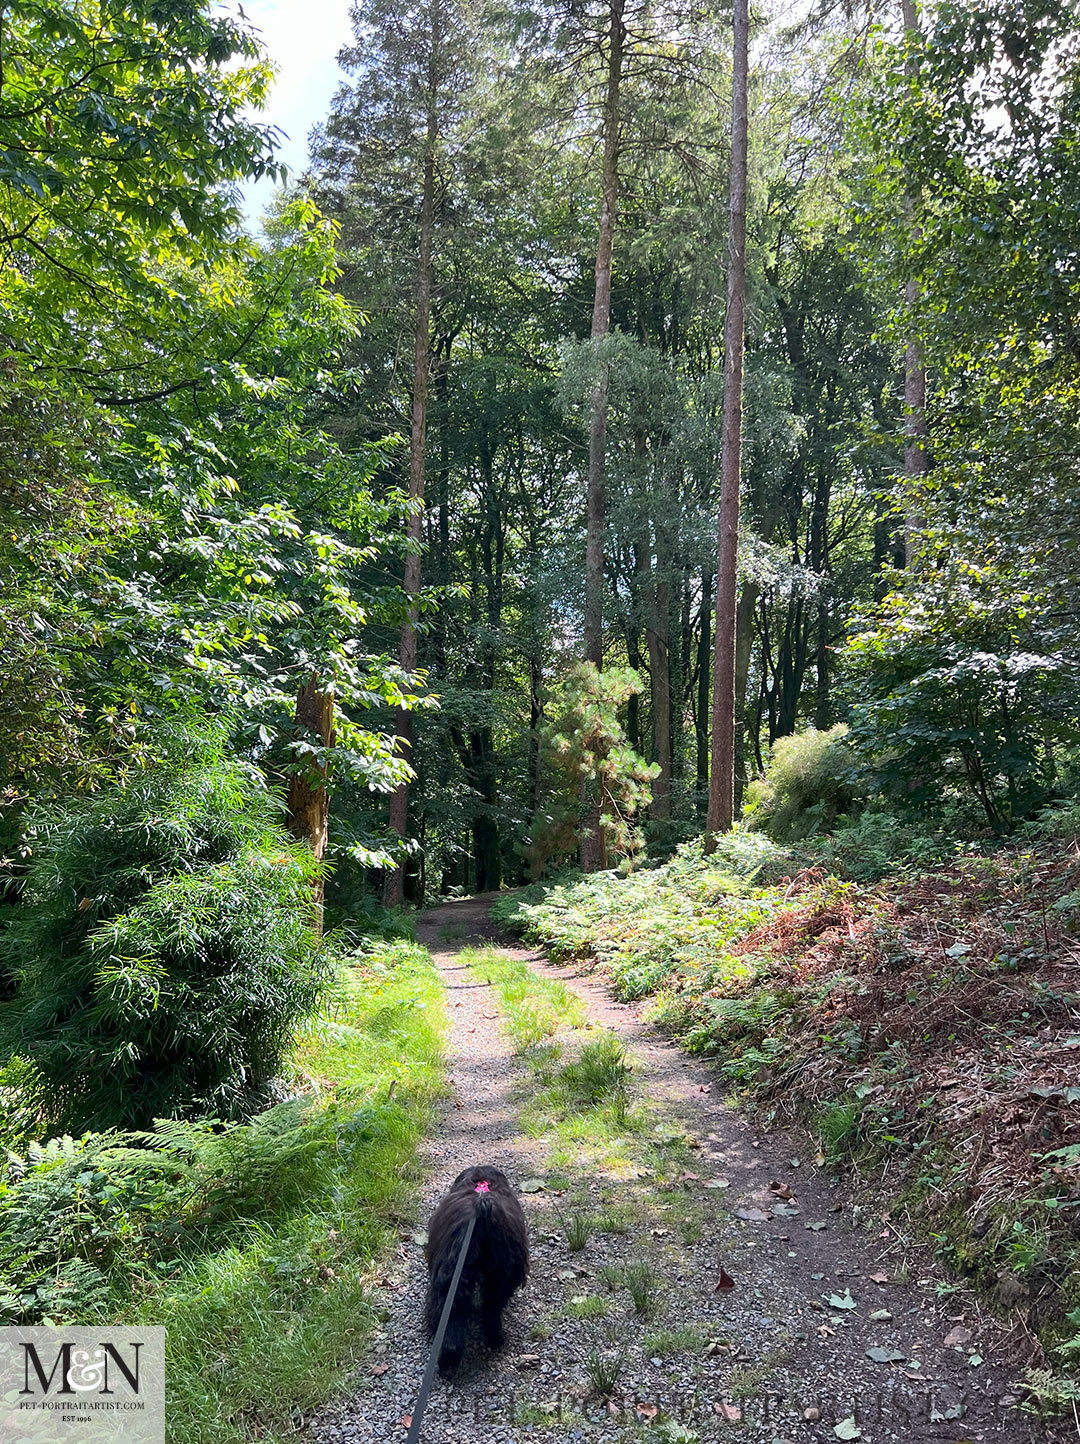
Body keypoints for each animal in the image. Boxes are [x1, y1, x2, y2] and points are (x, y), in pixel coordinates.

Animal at [427, 1160, 531, 1363]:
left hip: (452, 1276)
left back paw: (447, 1357)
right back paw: (494, 1340)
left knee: (452, 1317)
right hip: (501, 1273)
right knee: (491, 1308)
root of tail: (483, 1210)